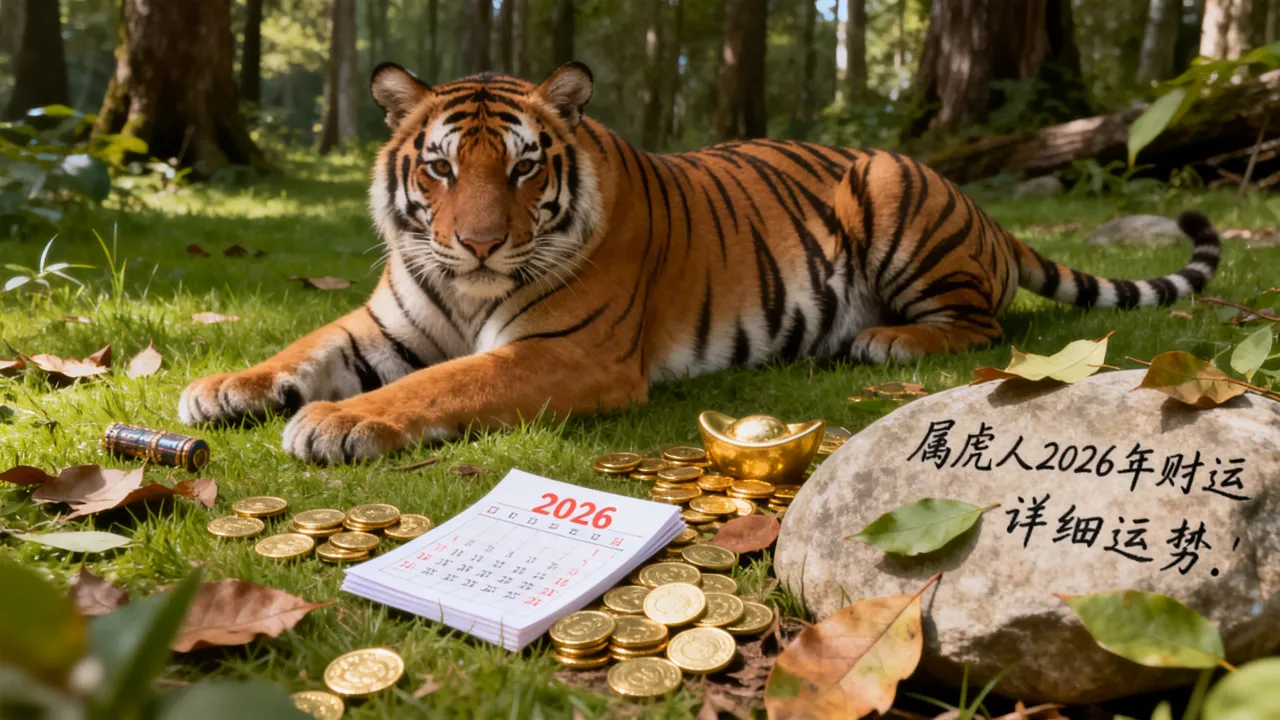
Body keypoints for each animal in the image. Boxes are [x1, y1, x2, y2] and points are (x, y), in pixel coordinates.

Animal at [178, 61, 1223, 463]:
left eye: (522, 167)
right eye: (438, 168)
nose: (477, 241)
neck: (467, 287)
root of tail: (985, 209)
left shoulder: (569, 351)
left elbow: (438, 385)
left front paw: (338, 422)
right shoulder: (386, 320)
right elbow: (306, 347)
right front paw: (223, 386)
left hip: (892, 192)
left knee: (985, 321)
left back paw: (883, 340)